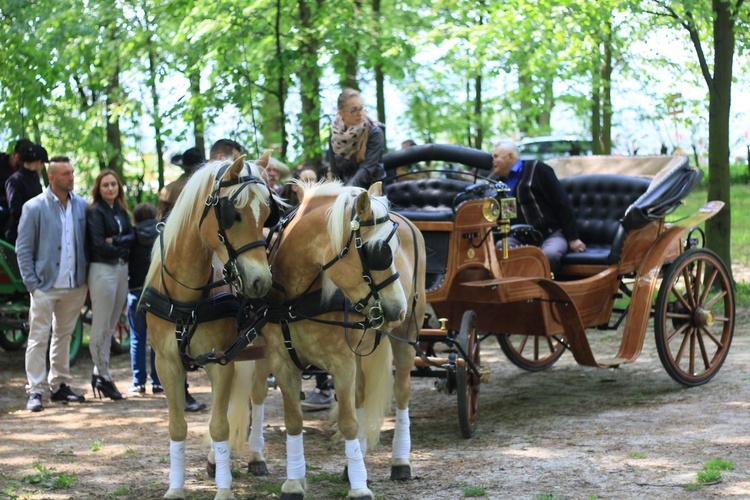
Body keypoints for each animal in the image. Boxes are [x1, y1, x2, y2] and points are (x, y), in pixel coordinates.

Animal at [142, 154, 284, 498]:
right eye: (233, 214)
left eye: (266, 214)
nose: (261, 281)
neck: (187, 300)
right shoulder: (167, 364)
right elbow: (177, 426)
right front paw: (176, 488)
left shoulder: (221, 362)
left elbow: (219, 425)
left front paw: (224, 489)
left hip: (262, 351)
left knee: (257, 396)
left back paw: (255, 456)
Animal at [250, 183, 426, 500]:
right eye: (379, 252)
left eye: (394, 250)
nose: (398, 309)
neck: (295, 300)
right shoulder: (282, 362)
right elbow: (293, 421)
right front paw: (294, 482)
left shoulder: (341, 363)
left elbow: (348, 422)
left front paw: (359, 488)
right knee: (360, 395)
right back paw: (354, 464)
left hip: (407, 336)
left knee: (402, 392)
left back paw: (400, 461)